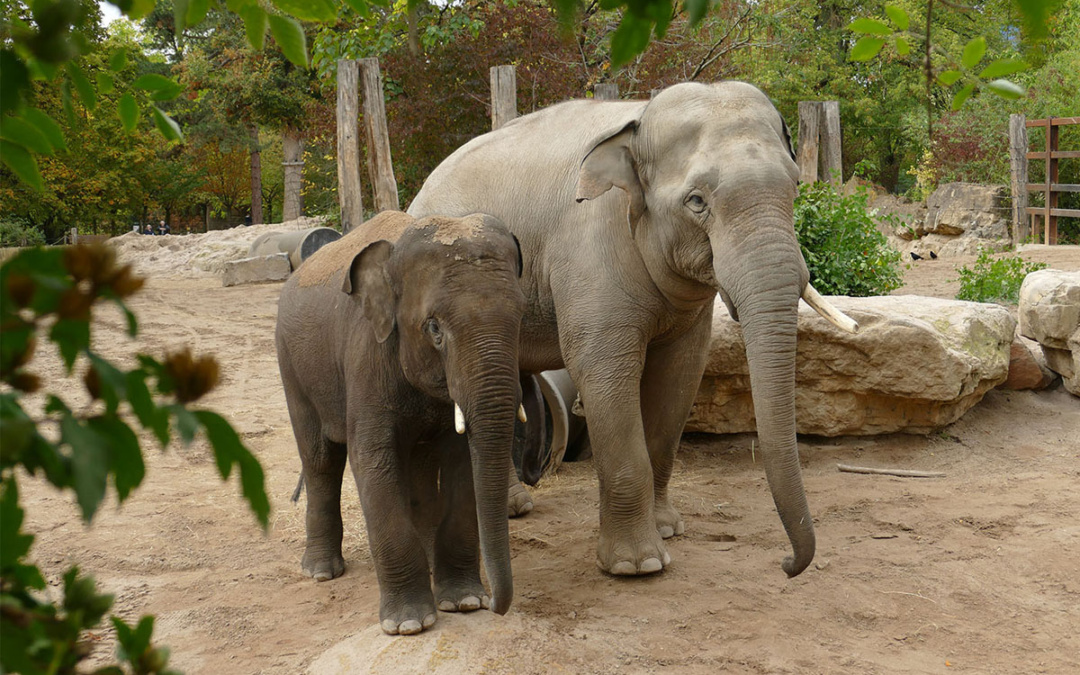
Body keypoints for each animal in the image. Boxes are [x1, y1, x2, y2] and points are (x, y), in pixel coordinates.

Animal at [275, 211, 527, 634]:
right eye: (434, 328)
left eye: (520, 317)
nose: (496, 604)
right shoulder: (366, 357)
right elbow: (372, 459)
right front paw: (408, 624)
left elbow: (461, 461)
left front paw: (464, 602)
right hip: (292, 368)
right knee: (321, 459)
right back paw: (321, 572)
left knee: (417, 465)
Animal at [409, 81, 857, 579]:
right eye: (696, 201)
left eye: (795, 185)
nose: (786, 564)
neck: (638, 118)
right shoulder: (589, 252)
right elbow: (604, 371)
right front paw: (637, 565)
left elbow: (680, 374)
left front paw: (668, 530)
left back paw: (514, 508)